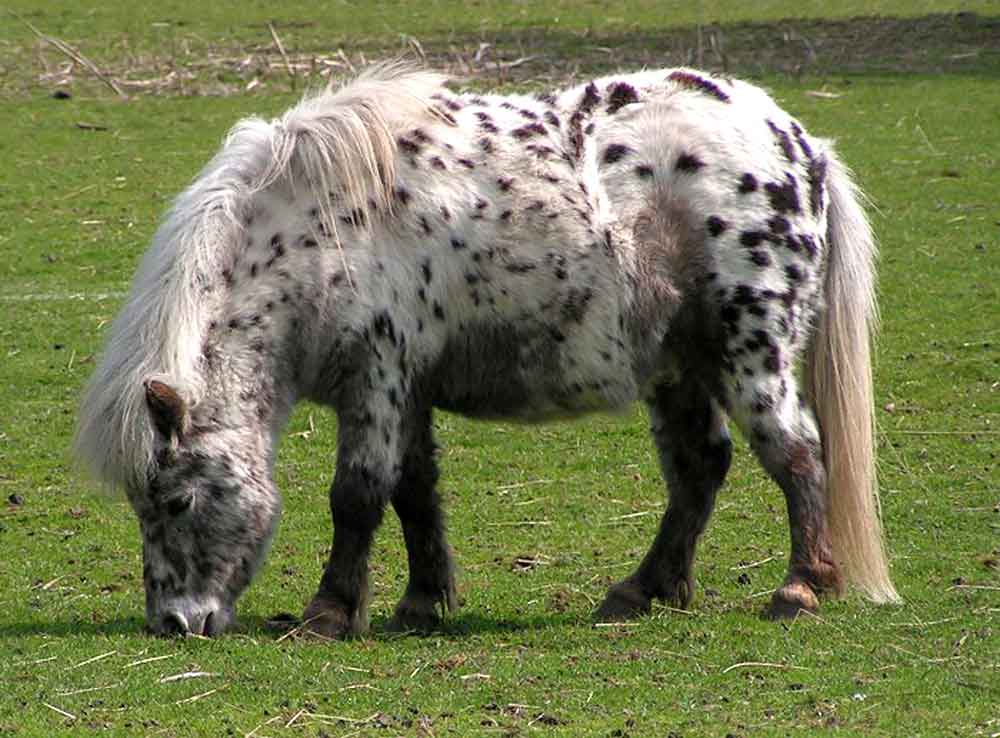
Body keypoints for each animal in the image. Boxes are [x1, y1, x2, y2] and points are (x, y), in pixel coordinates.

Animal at [72, 63, 900, 636]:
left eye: (176, 500)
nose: (175, 623)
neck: (314, 229)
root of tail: (804, 148)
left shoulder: (375, 376)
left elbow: (358, 495)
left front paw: (330, 613)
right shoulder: (405, 386)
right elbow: (414, 491)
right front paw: (420, 602)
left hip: (751, 348)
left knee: (796, 453)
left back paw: (798, 588)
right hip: (678, 362)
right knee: (700, 468)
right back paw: (642, 592)